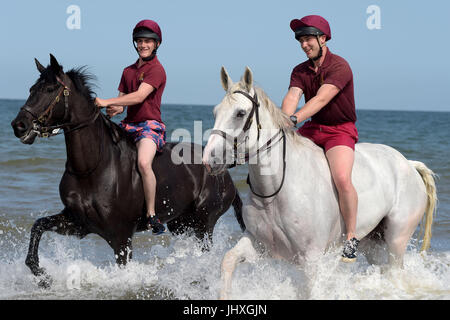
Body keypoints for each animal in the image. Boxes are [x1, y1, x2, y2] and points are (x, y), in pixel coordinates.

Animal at [10, 53, 243, 286]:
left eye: (50, 89)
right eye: (31, 89)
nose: (19, 125)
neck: (92, 168)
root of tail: (224, 171)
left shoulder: (121, 237)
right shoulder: (77, 223)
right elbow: (38, 226)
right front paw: (42, 276)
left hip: (204, 224)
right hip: (181, 224)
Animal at [203, 66, 436, 298]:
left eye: (240, 113)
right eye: (215, 112)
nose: (209, 160)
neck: (276, 191)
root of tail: (408, 164)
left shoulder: (310, 259)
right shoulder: (256, 242)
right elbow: (228, 261)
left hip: (397, 239)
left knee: (395, 271)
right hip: (373, 242)